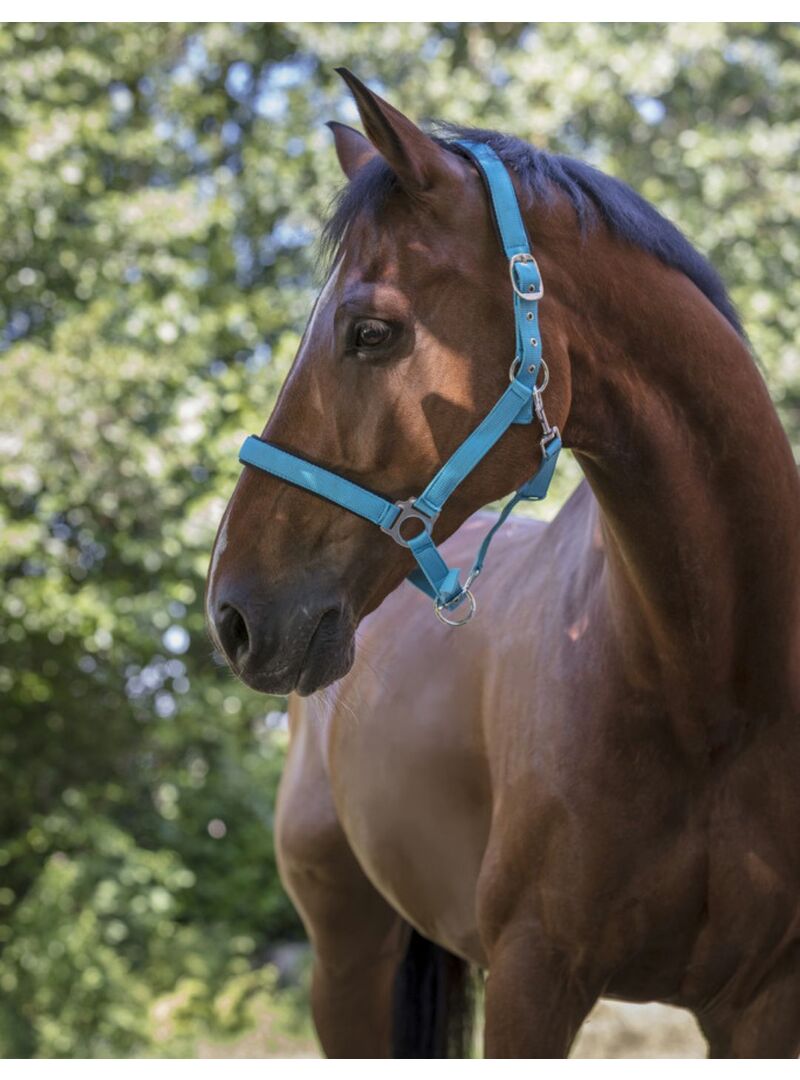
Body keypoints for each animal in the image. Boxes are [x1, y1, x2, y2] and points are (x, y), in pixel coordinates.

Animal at [204, 71, 798, 1058]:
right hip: (347, 964)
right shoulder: (533, 979)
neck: (713, 692)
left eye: (371, 331)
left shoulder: (761, 1006)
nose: (232, 614)